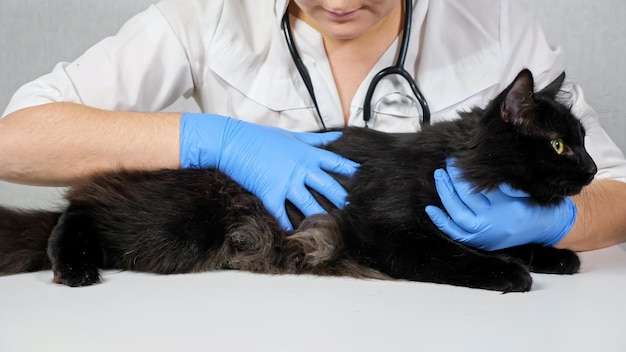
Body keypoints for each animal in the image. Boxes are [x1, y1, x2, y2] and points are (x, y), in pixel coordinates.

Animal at [0, 69, 596, 292]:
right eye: (559, 145)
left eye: (585, 139)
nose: (591, 169)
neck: (457, 164)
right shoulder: (386, 232)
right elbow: (457, 256)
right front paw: (511, 273)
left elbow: (508, 237)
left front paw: (553, 254)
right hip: (177, 227)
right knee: (77, 207)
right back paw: (74, 267)